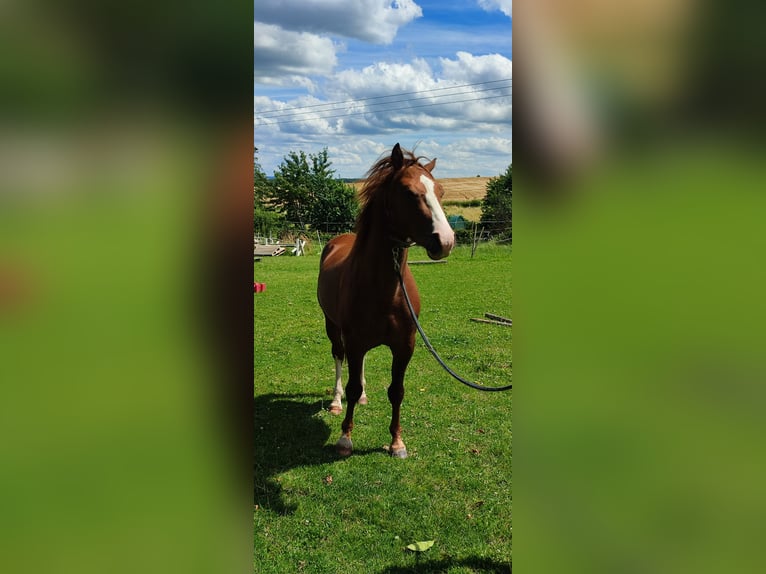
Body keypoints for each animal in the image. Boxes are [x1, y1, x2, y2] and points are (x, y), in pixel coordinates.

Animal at [318, 144, 456, 460]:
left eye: (440, 191)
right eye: (407, 191)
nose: (445, 241)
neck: (386, 289)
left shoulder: (405, 345)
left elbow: (397, 390)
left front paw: (396, 442)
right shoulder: (354, 340)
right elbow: (352, 387)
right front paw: (345, 439)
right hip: (333, 327)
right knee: (339, 358)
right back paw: (336, 402)